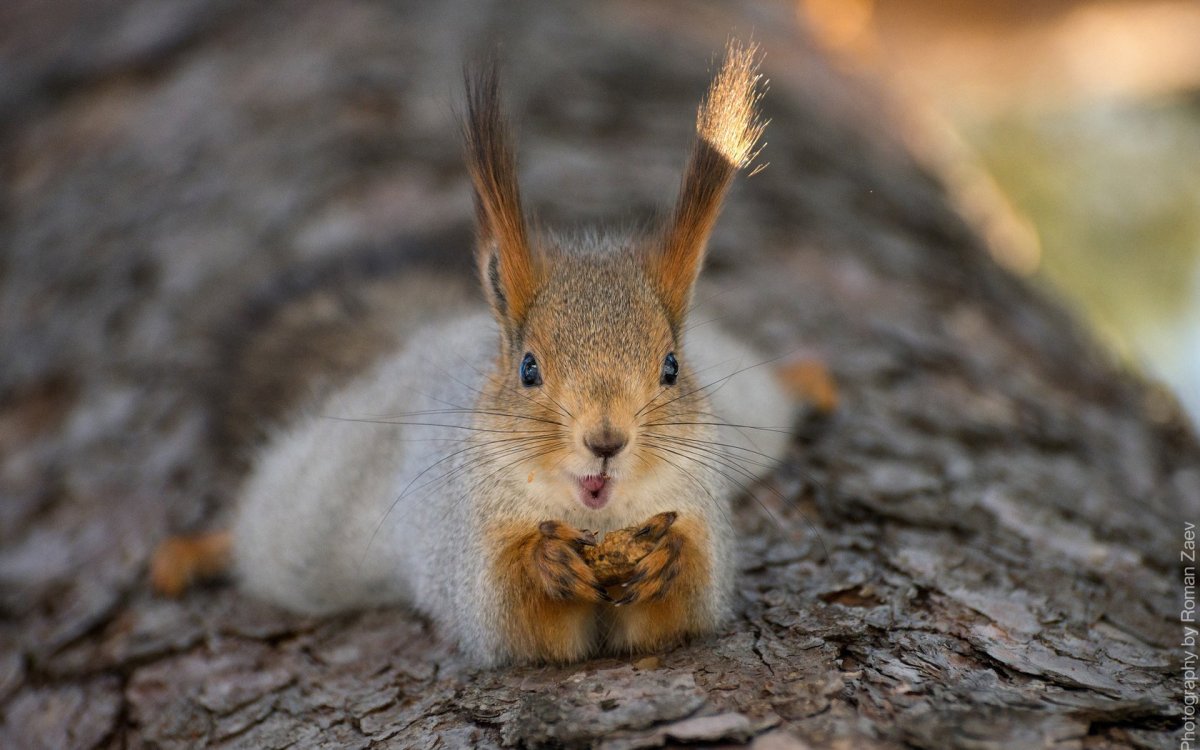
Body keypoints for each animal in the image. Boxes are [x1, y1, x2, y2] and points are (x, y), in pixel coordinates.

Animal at [154, 42, 801, 662]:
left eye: (671, 368)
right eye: (528, 369)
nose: (606, 441)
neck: (595, 520)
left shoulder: (698, 510)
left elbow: (687, 605)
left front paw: (667, 556)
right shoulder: (465, 547)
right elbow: (505, 616)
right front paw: (546, 562)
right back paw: (192, 553)